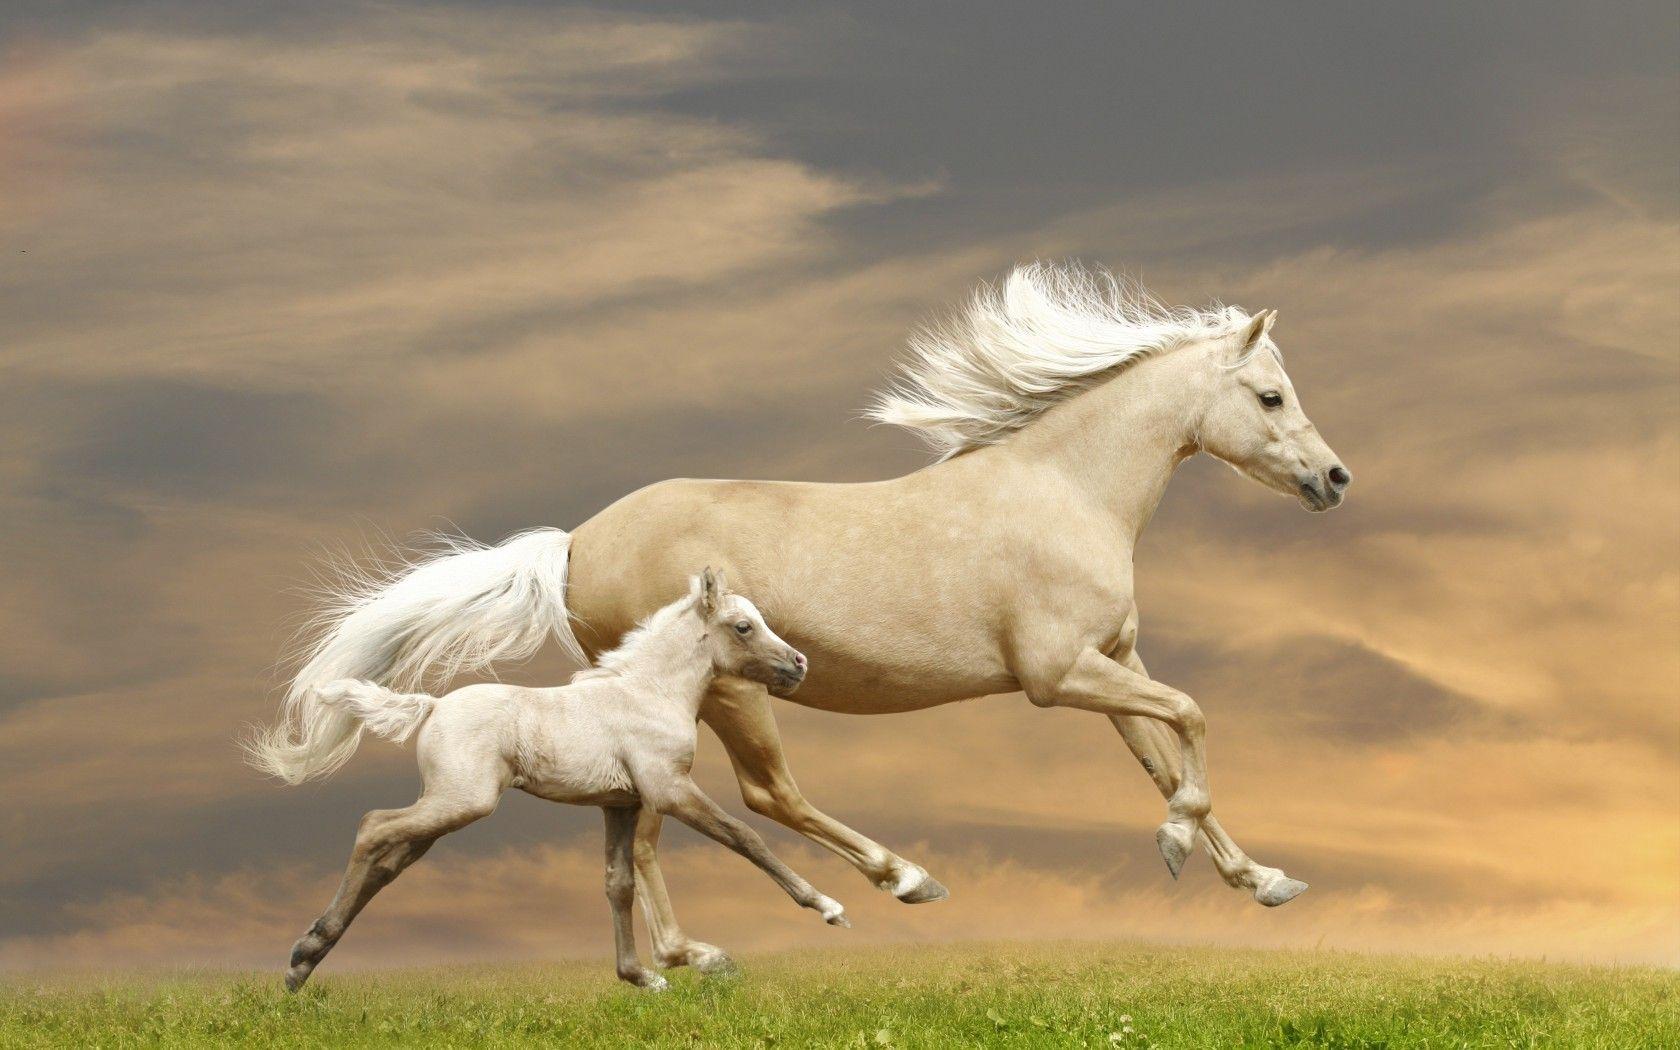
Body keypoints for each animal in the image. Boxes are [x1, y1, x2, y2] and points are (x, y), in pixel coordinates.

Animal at [279, 569, 848, 992]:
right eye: (743, 626)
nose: (799, 664)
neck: (650, 692)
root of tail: (433, 706)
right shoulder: (668, 790)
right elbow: (744, 837)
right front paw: (827, 907)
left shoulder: (621, 804)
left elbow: (618, 884)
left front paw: (640, 977)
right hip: (463, 801)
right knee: (374, 826)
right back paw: (305, 952)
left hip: (444, 810)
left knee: (387, 860)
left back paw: (304, 962)